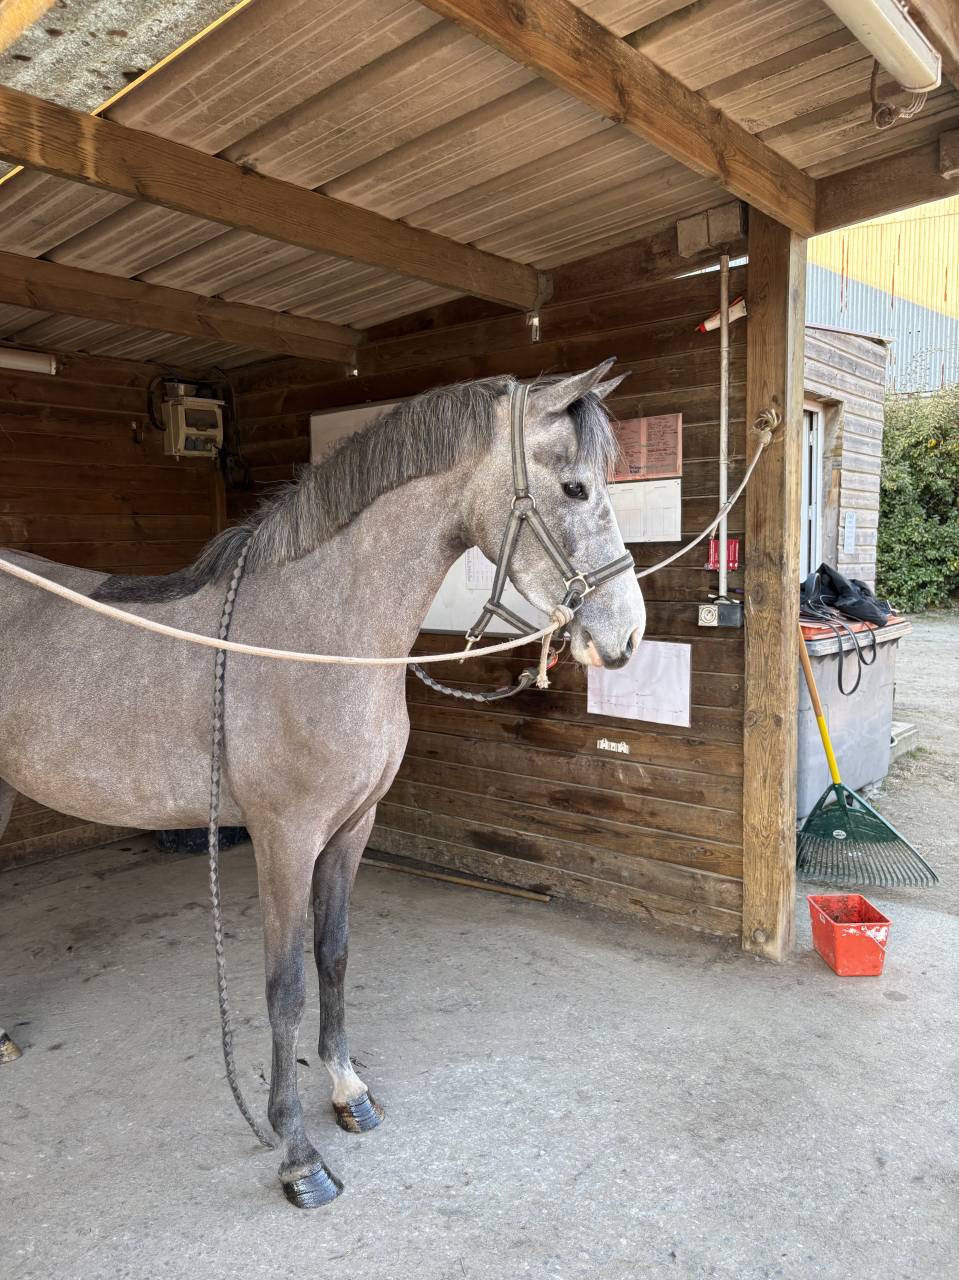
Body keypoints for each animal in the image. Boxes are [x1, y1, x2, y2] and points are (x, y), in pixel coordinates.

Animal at [0, 360, 646, 1207]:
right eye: (573, 487)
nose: (624, 635)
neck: (319, 635)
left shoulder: (351, 827)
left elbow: (333, 954)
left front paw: (346, 1091)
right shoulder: (284, 838)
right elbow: (285, 985)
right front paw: (296, 1154)